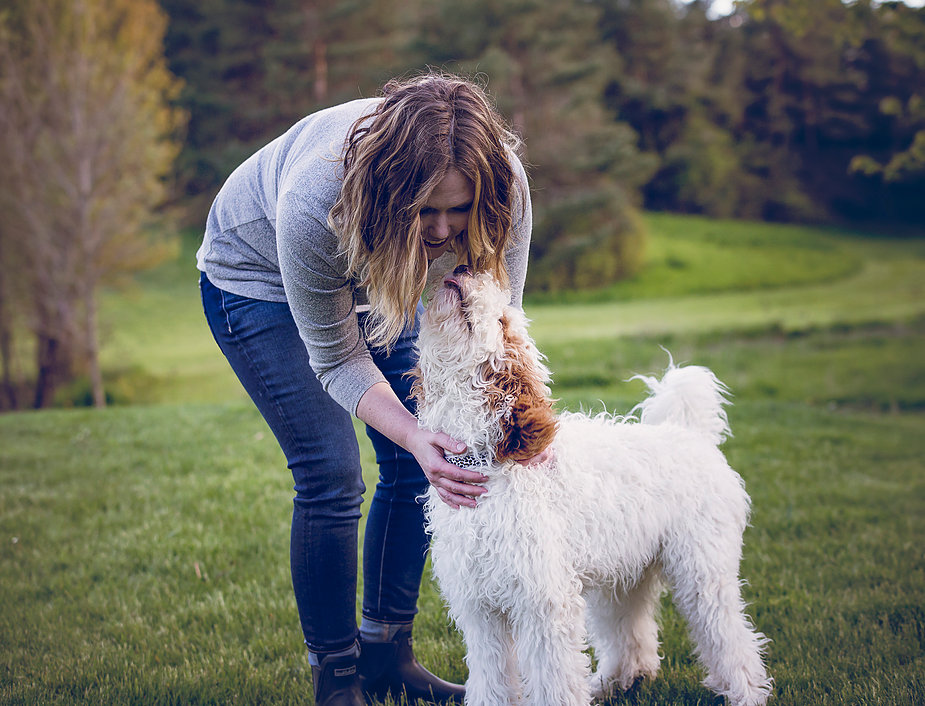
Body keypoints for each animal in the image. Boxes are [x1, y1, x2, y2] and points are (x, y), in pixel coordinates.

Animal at [412, 266, 772, 704]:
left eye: (501, 321)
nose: (464, 267)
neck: (487, 461)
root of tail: (690, 434)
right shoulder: (481, 612)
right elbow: (491, 680)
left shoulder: (544, 604)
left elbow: (553, 681)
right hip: (625, 575)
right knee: (632, 637)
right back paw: (615, 681)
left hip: (702, 570)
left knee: (729, 635)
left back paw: (747, 692)